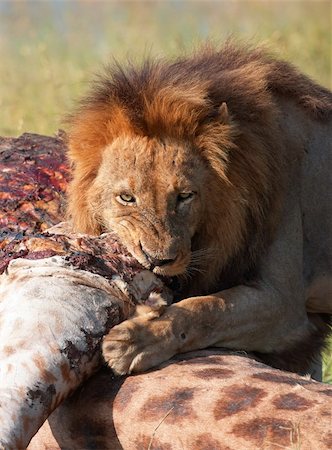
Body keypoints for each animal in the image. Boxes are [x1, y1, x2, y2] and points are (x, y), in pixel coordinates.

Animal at [65, 43, 332, 376]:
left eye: (185, 196)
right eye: (126, 197)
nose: (158, 261)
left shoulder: (286, 305)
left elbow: (208, 308)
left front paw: (136, 341)